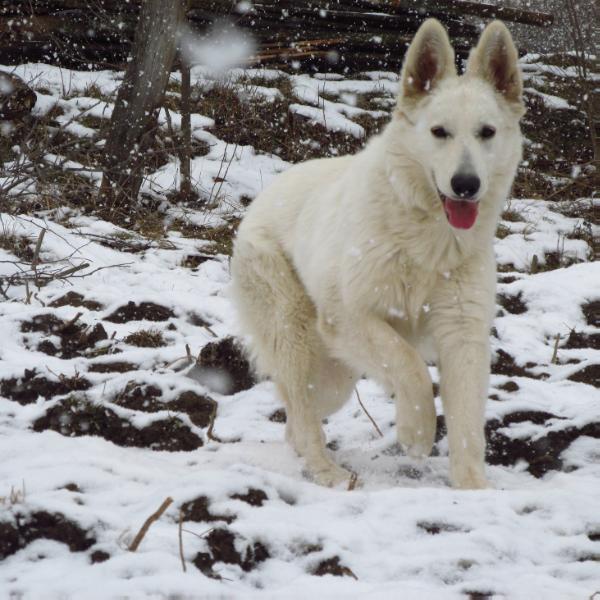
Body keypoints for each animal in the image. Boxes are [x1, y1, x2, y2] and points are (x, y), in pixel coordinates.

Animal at [232, 18, 524, 490]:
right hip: (299, 339)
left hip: (335, 377)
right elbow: (411, 368)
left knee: (295, 421)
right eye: (439, 132)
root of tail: (265, 194)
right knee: (301, 413)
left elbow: (467, 425)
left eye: (487, 133)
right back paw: (327, 472)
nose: (466, 185)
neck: (425, 239)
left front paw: (473, 489)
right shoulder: (350, 316)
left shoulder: (463, 335)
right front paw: (416, 431)